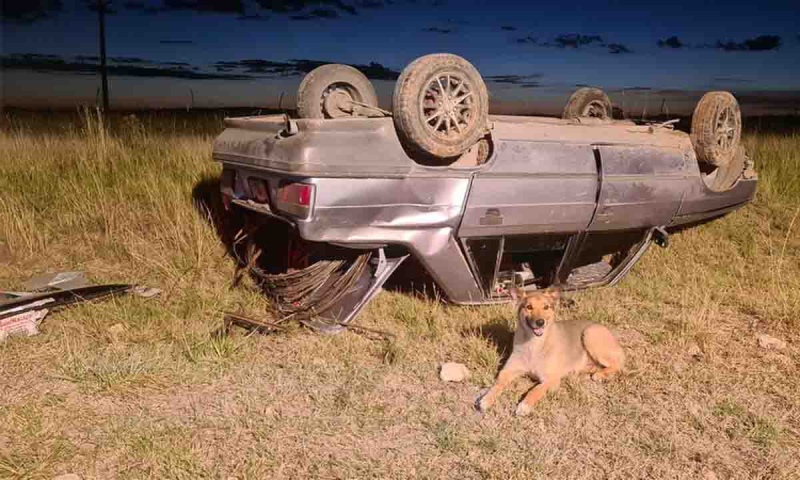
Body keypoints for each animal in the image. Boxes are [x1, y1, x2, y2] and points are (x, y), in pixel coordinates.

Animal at [476, 286, 624, 414]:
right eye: (529, 307)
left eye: (546, 307)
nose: (540, 322)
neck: (534, 344)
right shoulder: (507, 371)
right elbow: (497, 385)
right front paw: (487, 398)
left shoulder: (551, 380)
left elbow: (535, 390)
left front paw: (525, 405)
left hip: (589, 334)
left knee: (619, 364)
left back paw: (601, 375)